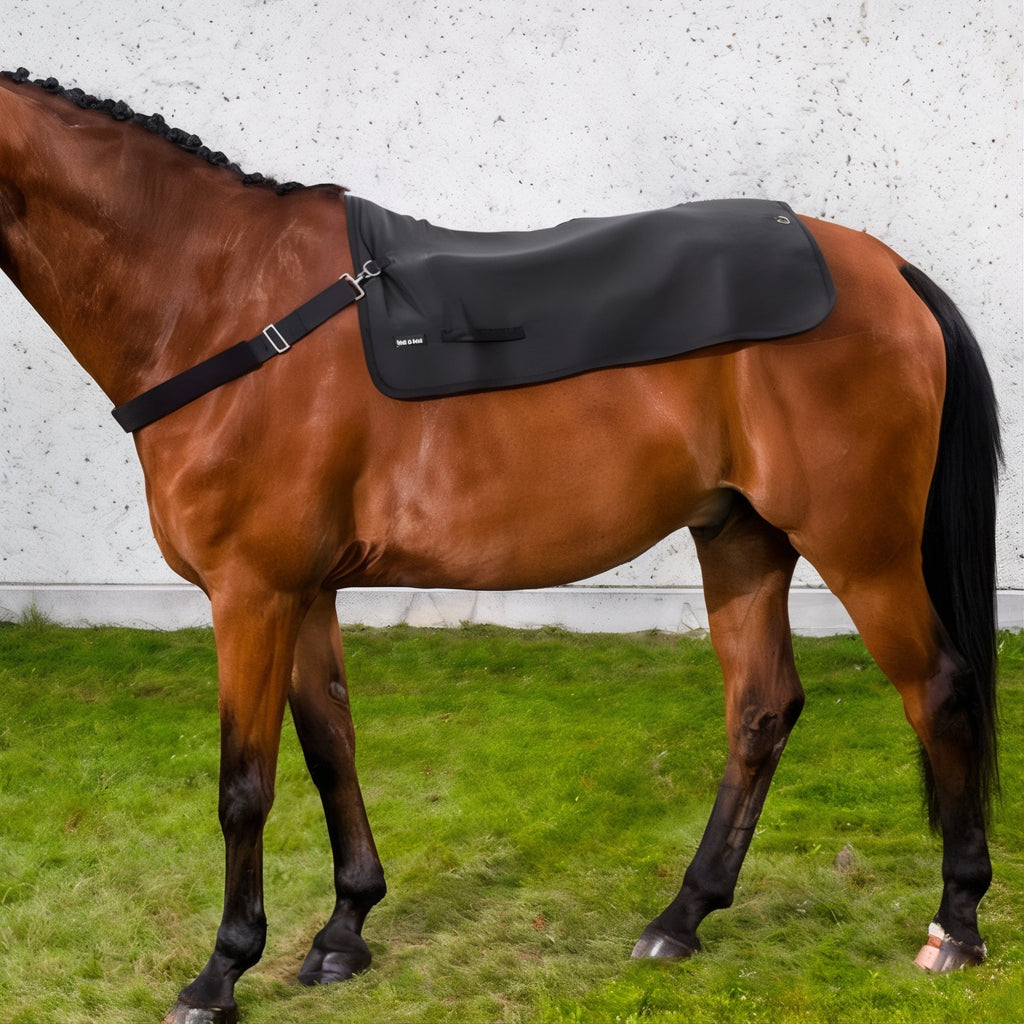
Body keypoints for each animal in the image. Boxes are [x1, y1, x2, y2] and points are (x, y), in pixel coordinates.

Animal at [0, 69, 1001, 1024]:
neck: (223, 303)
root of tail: (889, 269)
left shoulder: (250, 593)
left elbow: (245, 786)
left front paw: (221, 973)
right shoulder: (304, 592)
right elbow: (331, 747)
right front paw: (345, 930)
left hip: (862, 546)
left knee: (940, 691)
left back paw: (954, 926)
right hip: (739, 537)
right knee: (761, 711)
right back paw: (681, 918)